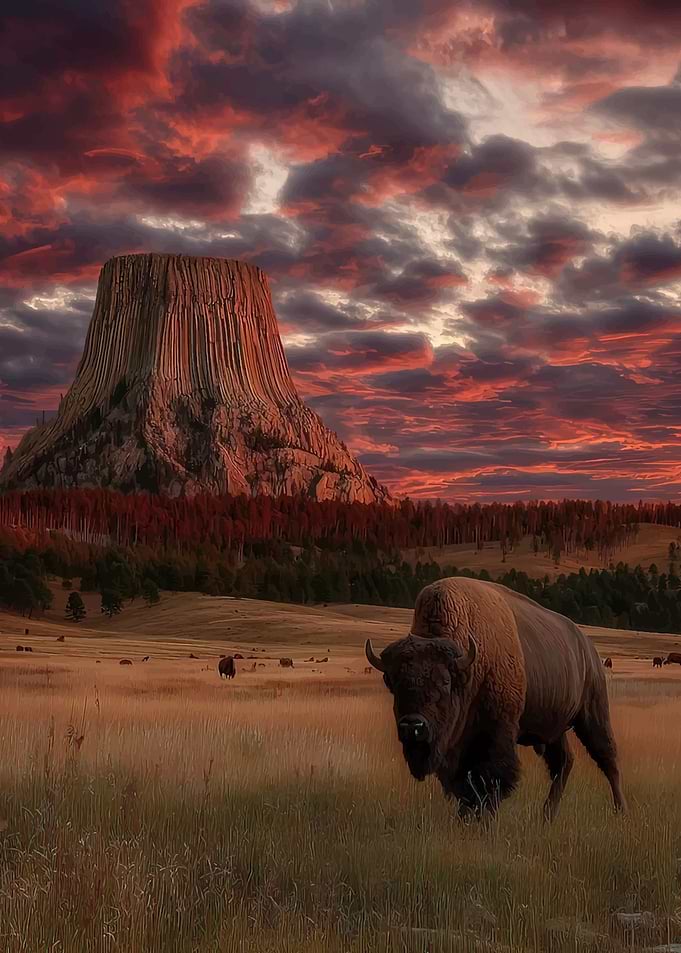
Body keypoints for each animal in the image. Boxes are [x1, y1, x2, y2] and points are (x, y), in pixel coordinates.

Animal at [365, 576, 626, 823]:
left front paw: (485, 821)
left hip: (592, 713)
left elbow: (490, 780)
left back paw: (620, 811)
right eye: (392, 682)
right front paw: (464, 819)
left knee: (608, 758)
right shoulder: (458, 747)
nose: (413, 726)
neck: (471, 666)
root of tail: (587, 647)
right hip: (554, 729)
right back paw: (547, 816)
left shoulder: (495, 733)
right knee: (563, 762)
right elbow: (464, 785)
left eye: (445, 682)